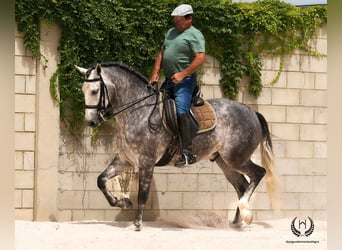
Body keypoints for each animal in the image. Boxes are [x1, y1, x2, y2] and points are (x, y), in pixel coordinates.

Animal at [75, 62, 278, 230]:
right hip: (225, 162)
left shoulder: (146, 161)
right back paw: (236, 221)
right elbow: (101, 180)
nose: (90, 122)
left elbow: (142, 194)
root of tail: (252, 111)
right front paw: (121, 202)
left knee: (258, 174)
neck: (138, 112)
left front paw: (137, 223)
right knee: (242, 185)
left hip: (236, 158)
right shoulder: (126, 159)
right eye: (83, 90)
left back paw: (245, 212)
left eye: (94, 91)